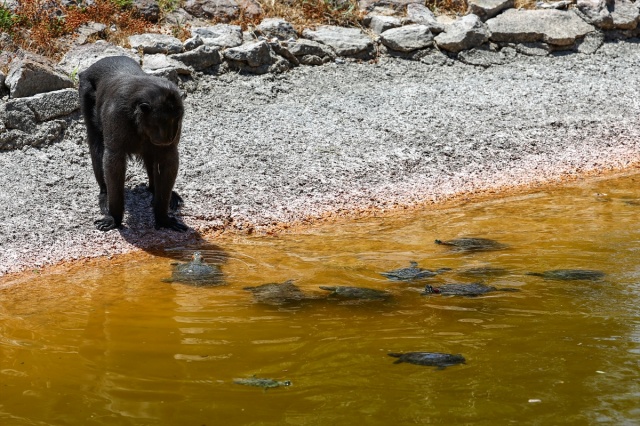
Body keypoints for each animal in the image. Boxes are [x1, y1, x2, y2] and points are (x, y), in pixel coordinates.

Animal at [78, 57, 188, 233]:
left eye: (175, 120)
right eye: (165, 121)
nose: (171, 134)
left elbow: (168, 159)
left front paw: (162, 218)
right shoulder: (116, 114)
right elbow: (113, 161)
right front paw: (115, 217)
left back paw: (155, 190)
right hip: (86, 90)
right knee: (96, 143)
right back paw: (104, 192)